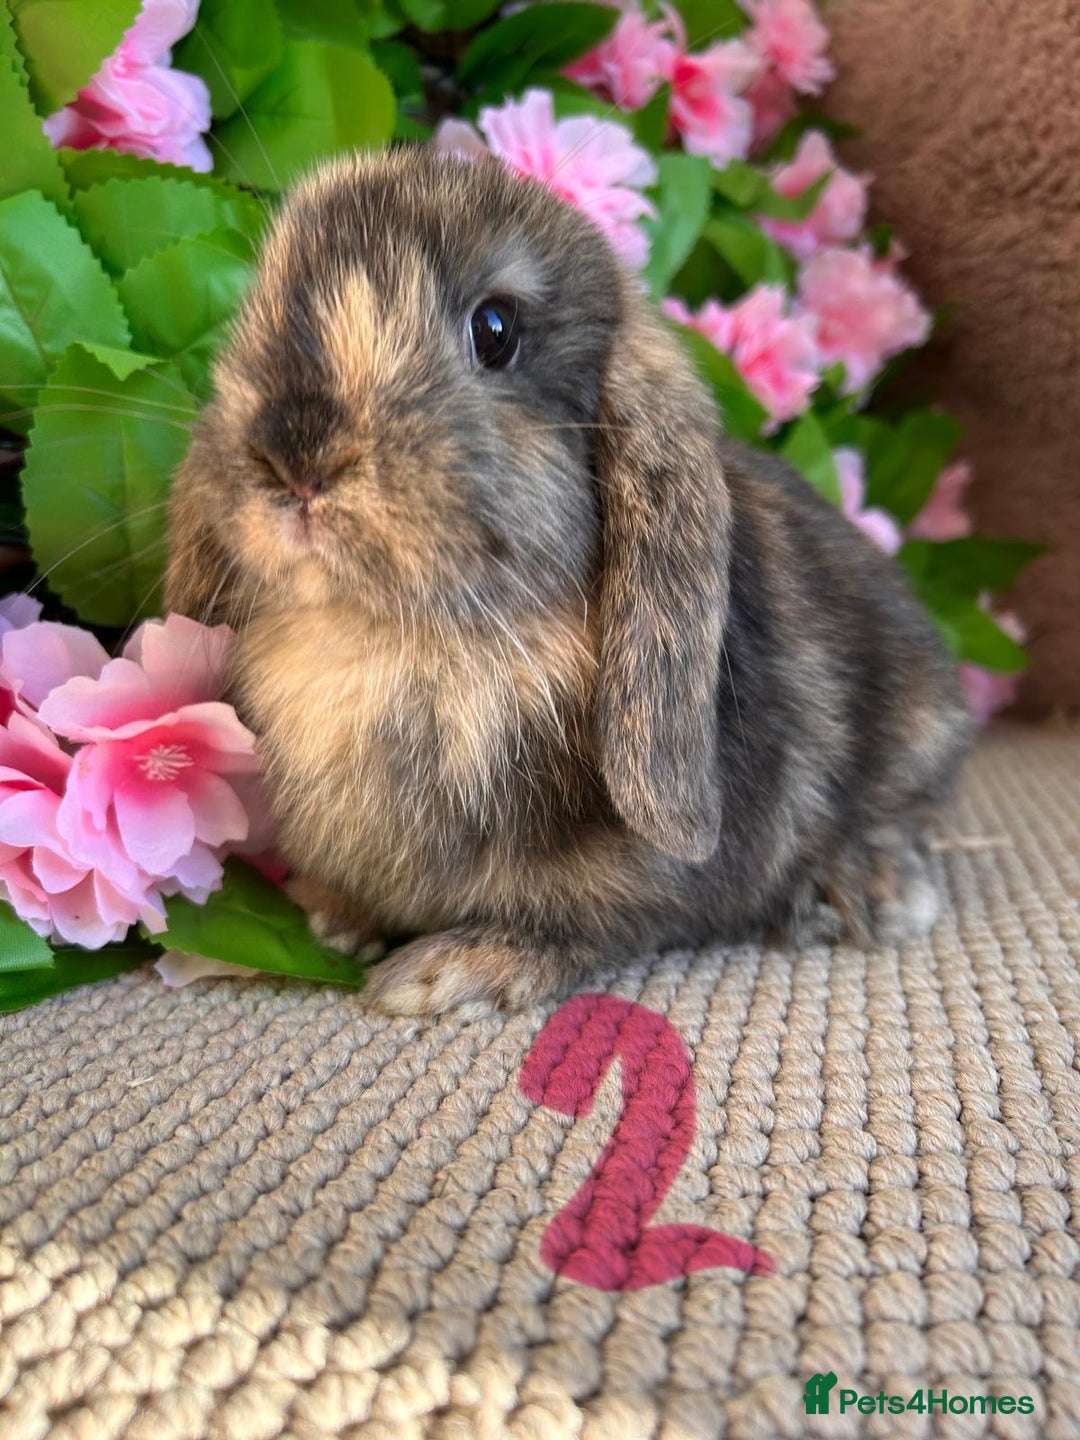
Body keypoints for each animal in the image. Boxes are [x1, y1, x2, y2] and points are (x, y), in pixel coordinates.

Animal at [165, 145, 972, 1017]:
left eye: (496, 331)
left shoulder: (634, 887)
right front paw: (326, 916)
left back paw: (865, 889)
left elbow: (582, 929)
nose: (294, 456)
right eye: (261, 305)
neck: (387, 635)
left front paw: (447, 974)